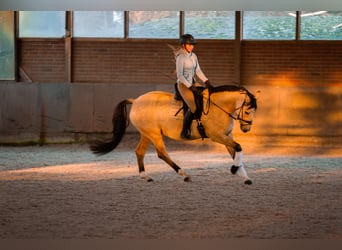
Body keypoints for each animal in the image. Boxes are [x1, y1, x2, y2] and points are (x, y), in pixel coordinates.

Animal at [89, 85, 258, 185]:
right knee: (162, 154)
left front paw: (244, 176)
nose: (246, 129)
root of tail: (136, 101)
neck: (219, 107)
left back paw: (146, 176)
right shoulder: (217, 136)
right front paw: (235, 170)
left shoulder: (226, 136)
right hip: (154, 134)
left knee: (139, 152)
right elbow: (238, 147)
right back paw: (184, 174)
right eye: (247, 111)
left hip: (147, 134)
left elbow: (235, 151)